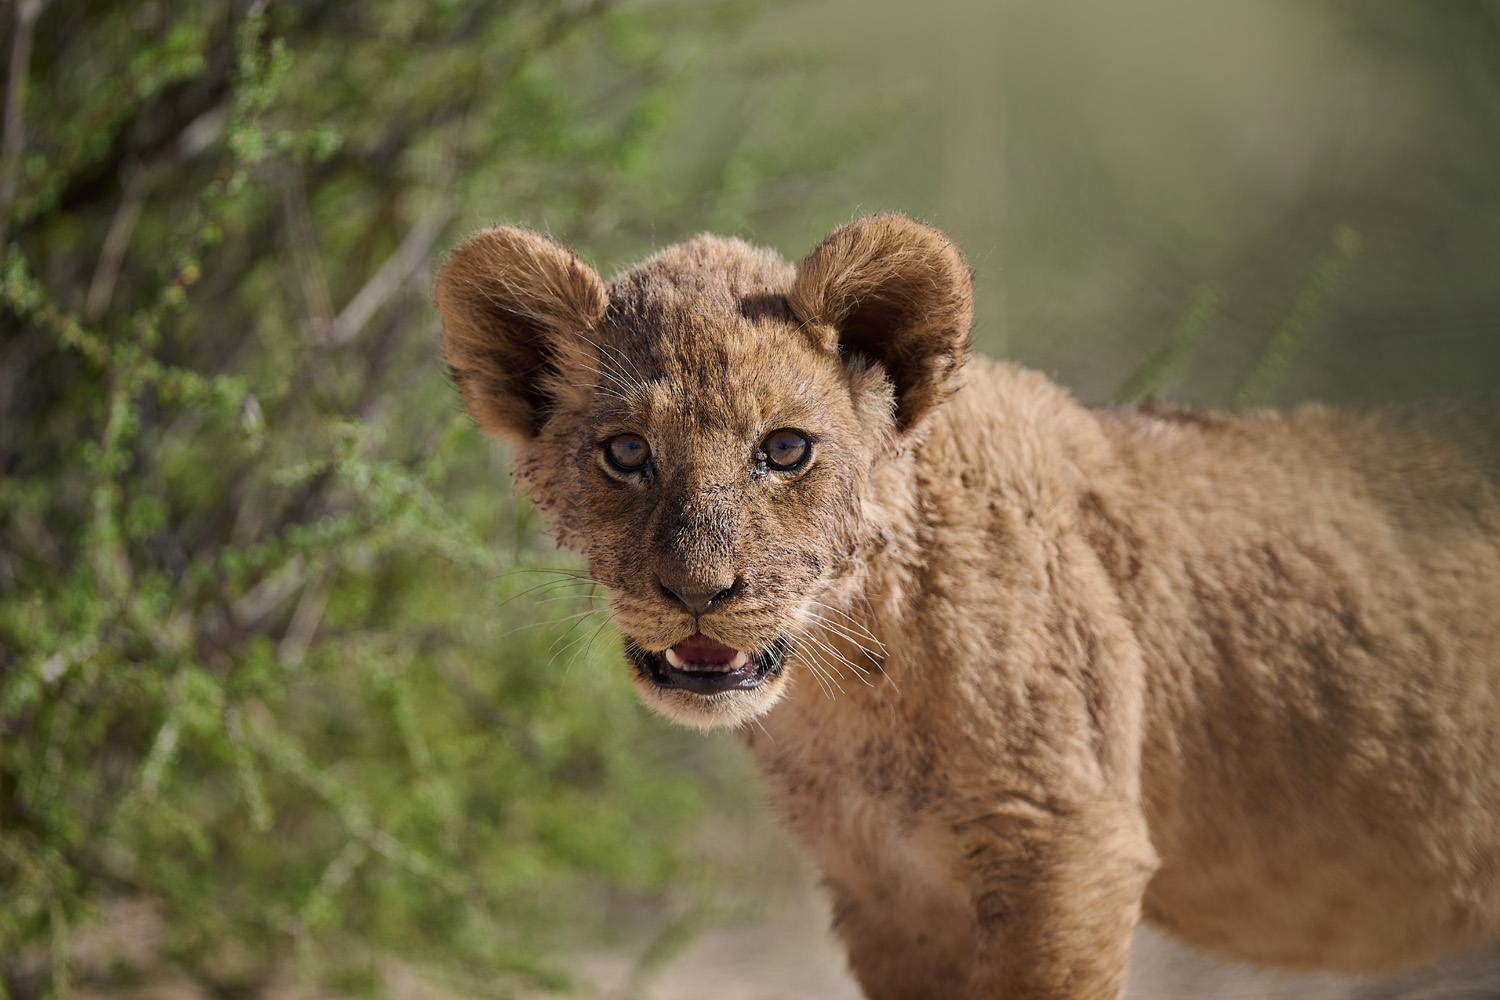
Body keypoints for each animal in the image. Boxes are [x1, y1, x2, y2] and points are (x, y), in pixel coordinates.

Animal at [433, 214, 1500, 1000]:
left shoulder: (1067, 851)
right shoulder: (886, 892)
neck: (853, 685)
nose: (699, 593)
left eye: (784, 449)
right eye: (625, 452)